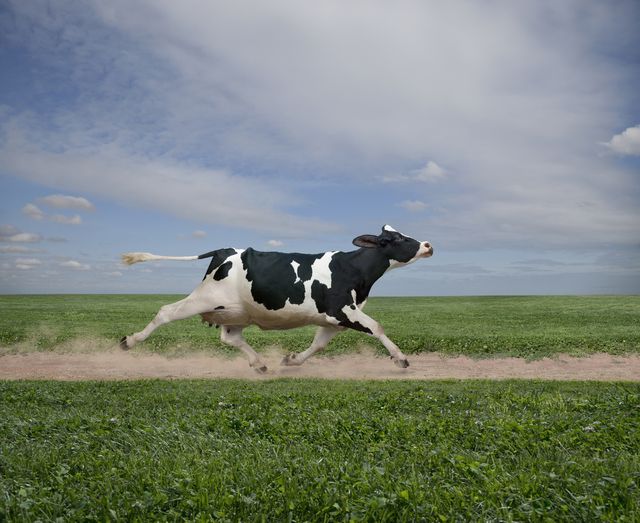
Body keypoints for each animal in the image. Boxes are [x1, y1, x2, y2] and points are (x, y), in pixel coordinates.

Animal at [119, 225, 436, 372]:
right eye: (396, 239)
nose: (427, 245)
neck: (353, 268)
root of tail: (223, 250)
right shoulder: (343, 309)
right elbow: (377, 327)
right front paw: (400, 359)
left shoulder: (333, 319)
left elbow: (318, 345)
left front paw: (292, 360)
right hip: (206, 298)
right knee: (166, 311)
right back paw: (129, 341)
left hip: (236, 311)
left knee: (230, 337)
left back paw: (260, 364)